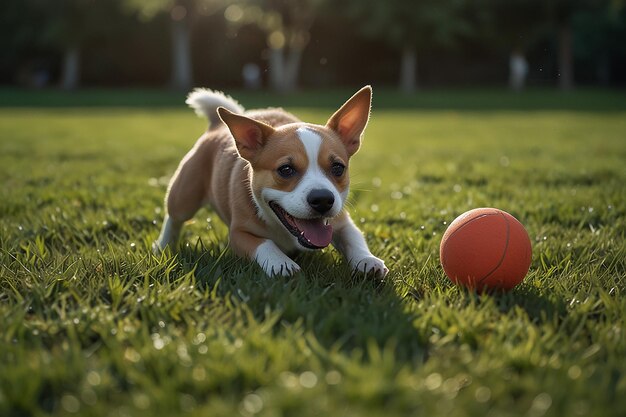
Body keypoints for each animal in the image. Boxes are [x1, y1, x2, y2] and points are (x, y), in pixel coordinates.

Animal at [152, 85, 386, 278]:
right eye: (286, 170)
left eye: (338, 168)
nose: (322, 199)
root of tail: (217, 126)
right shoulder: (238, 234)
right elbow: (264, 244)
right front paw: (280, 263)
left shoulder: (341, 221)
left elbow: (353, 237)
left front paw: (367, 260)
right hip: (185, 194)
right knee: (174, 217)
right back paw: (162, 246)